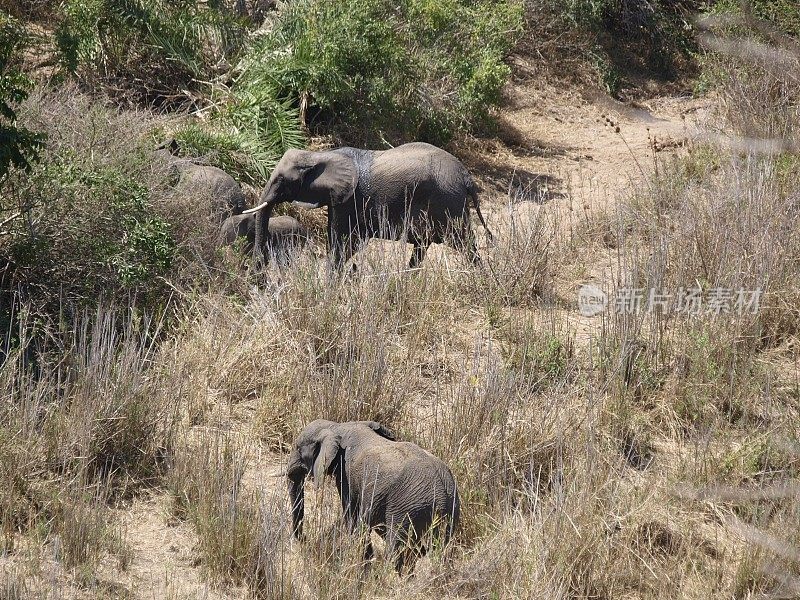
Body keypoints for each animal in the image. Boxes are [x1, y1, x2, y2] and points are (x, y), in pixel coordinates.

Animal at [244, 142, 490, 268]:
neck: (319, 155)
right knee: (423, 247)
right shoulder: (338, 198)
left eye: (283, 180)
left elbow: (344, 243)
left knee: (464, 244)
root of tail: (466, 176)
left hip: (448, 202)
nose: (258, 268)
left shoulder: (351, 199)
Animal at [288, 418, 462, 572]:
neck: (336, 426)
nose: (305, 539)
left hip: (407, 510)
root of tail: (441, 494)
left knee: (397, 552)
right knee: (442, 549)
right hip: (450, 510)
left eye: (298, 448)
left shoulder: (347, 477)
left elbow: (354, 521)